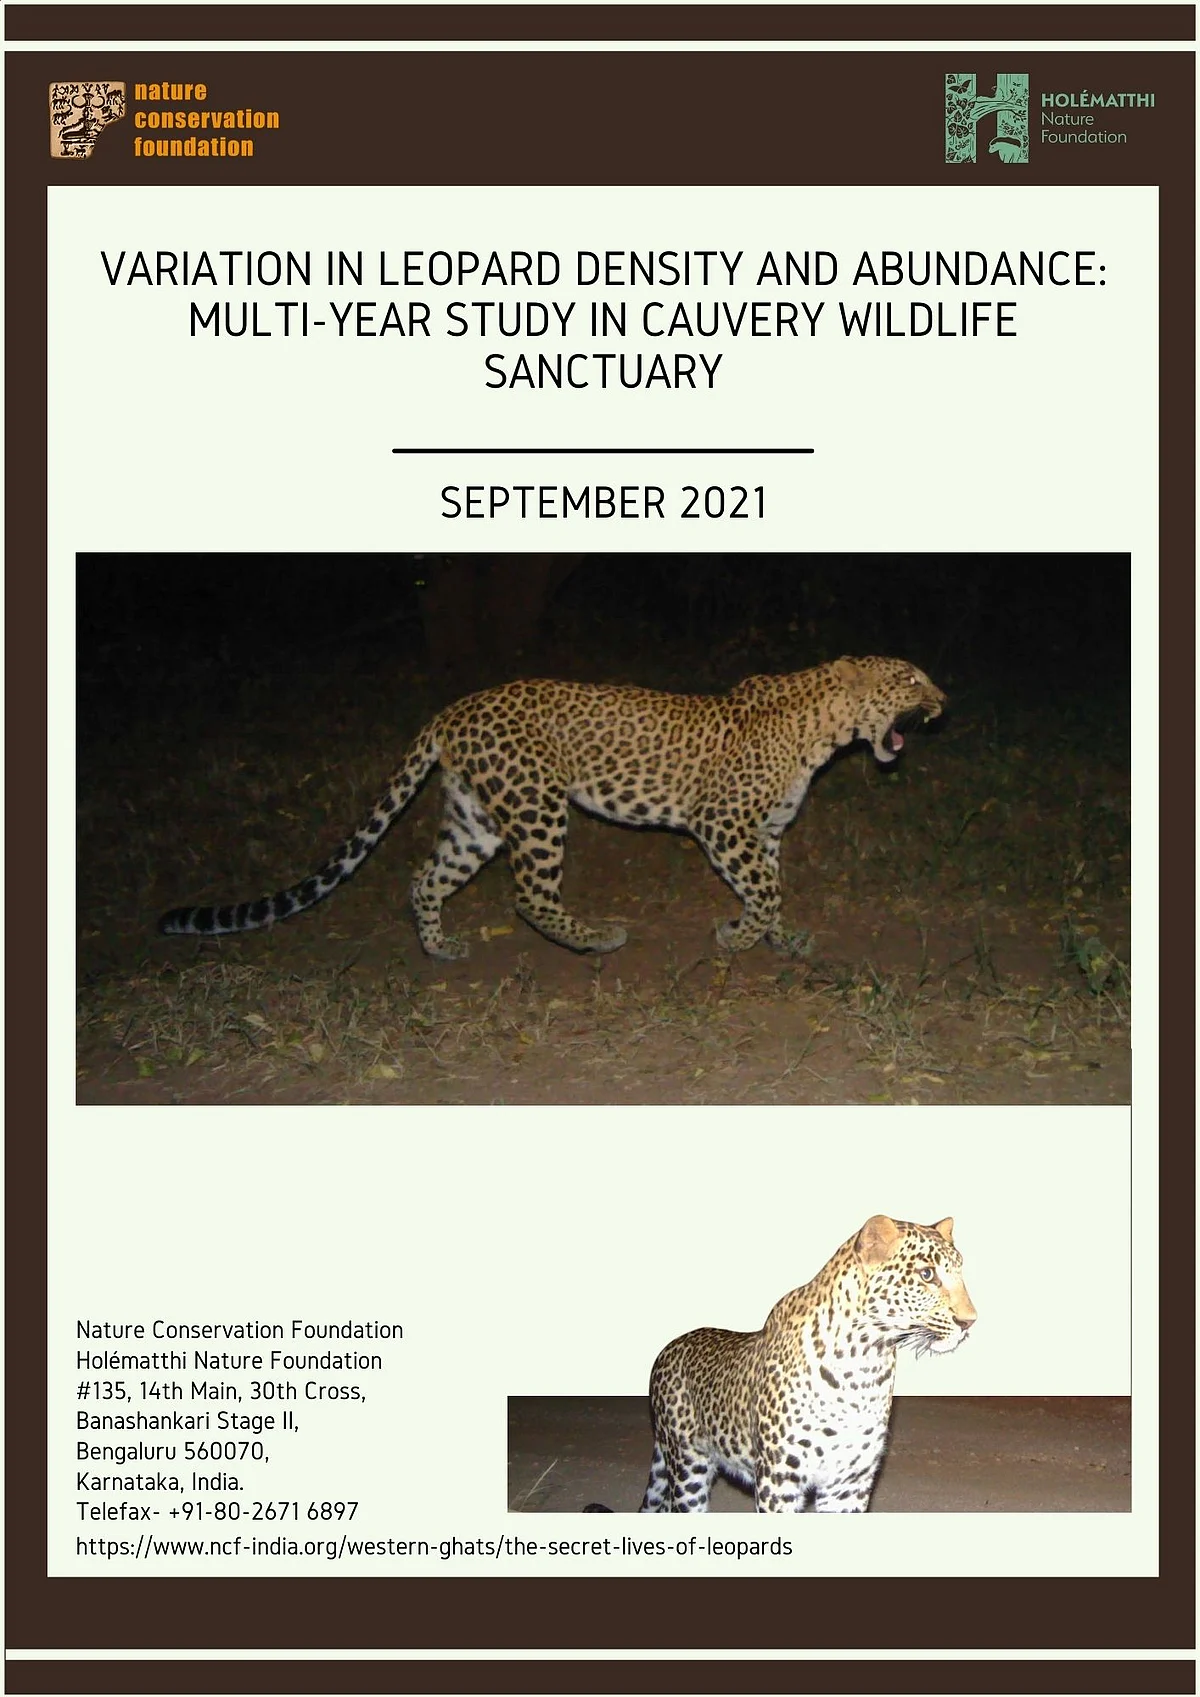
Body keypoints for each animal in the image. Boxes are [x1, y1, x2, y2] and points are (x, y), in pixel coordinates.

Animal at [159, 655, 945, 961]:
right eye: (910, 678)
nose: (943, 701)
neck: (828, 729)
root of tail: (451, 709)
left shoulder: (767, 830)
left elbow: (772, 889)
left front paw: (780, 939)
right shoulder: (723, 825)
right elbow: (765, 889)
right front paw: (739, 937)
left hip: (476, 817)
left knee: (424, 877)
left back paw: (440, 948)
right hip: (536, 806)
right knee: (529, 895)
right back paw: (595, 938)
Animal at [583, 1214, 975, 1514]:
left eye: (959, 1273)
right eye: (927, 1275)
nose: (970, 1321)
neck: (866, 1363)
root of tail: (669, 1347)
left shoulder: (850, 1483)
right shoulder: (779, 1479)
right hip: (688, 1464)